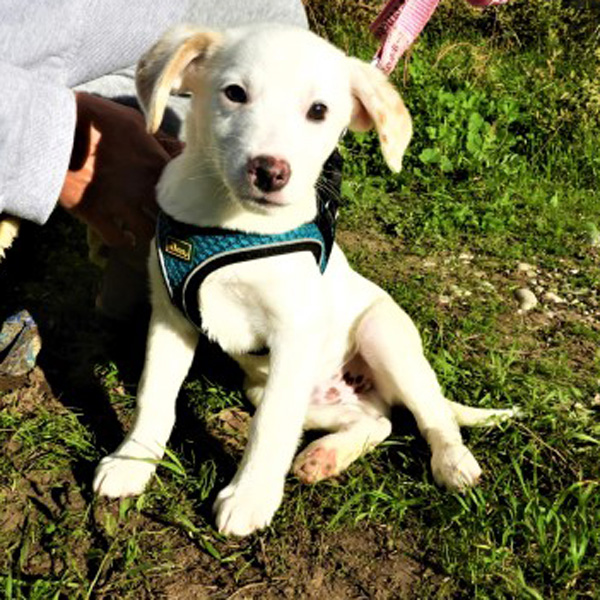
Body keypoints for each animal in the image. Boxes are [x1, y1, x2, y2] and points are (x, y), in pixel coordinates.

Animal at [93, 23, 517, 537]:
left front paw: (250, 497)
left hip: (383, 336)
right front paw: (132, 462)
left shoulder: (292, 334)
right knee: (379, 420)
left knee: (431, 412)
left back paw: (453, 461)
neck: (230, 224)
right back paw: (325, 455)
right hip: (281, 389)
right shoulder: (171, 317)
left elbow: (271, 425)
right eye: (234, 93)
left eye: (319, 111)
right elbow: (154, 394)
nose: (270, 171)